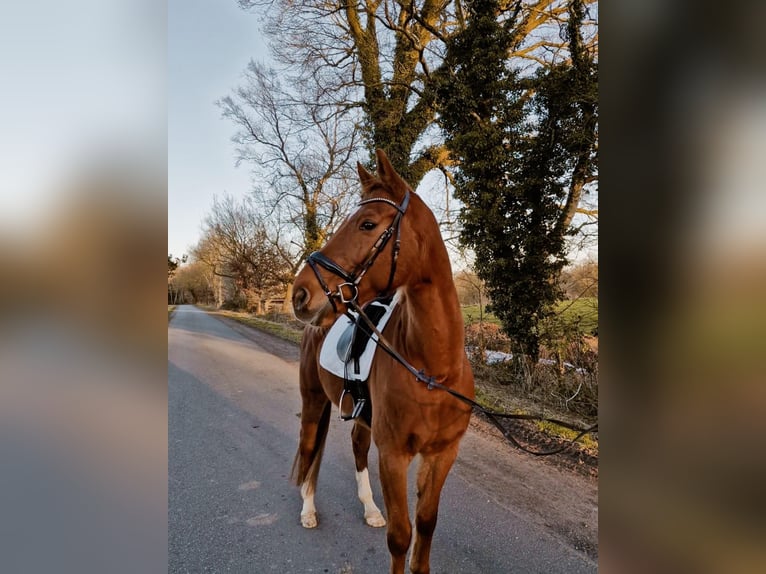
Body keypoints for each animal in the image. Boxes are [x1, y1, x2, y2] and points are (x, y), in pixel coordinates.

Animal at [292, 150, 474, 574]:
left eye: (368, 223)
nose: (300, 293)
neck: (433, 371)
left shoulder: (442, 454)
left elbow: (425, 524)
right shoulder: (393, 455)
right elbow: (400, 535)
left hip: (360, 416)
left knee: (357, 449)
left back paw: (371, 509)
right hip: (313, 401)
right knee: (309, 449)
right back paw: (308, 510)